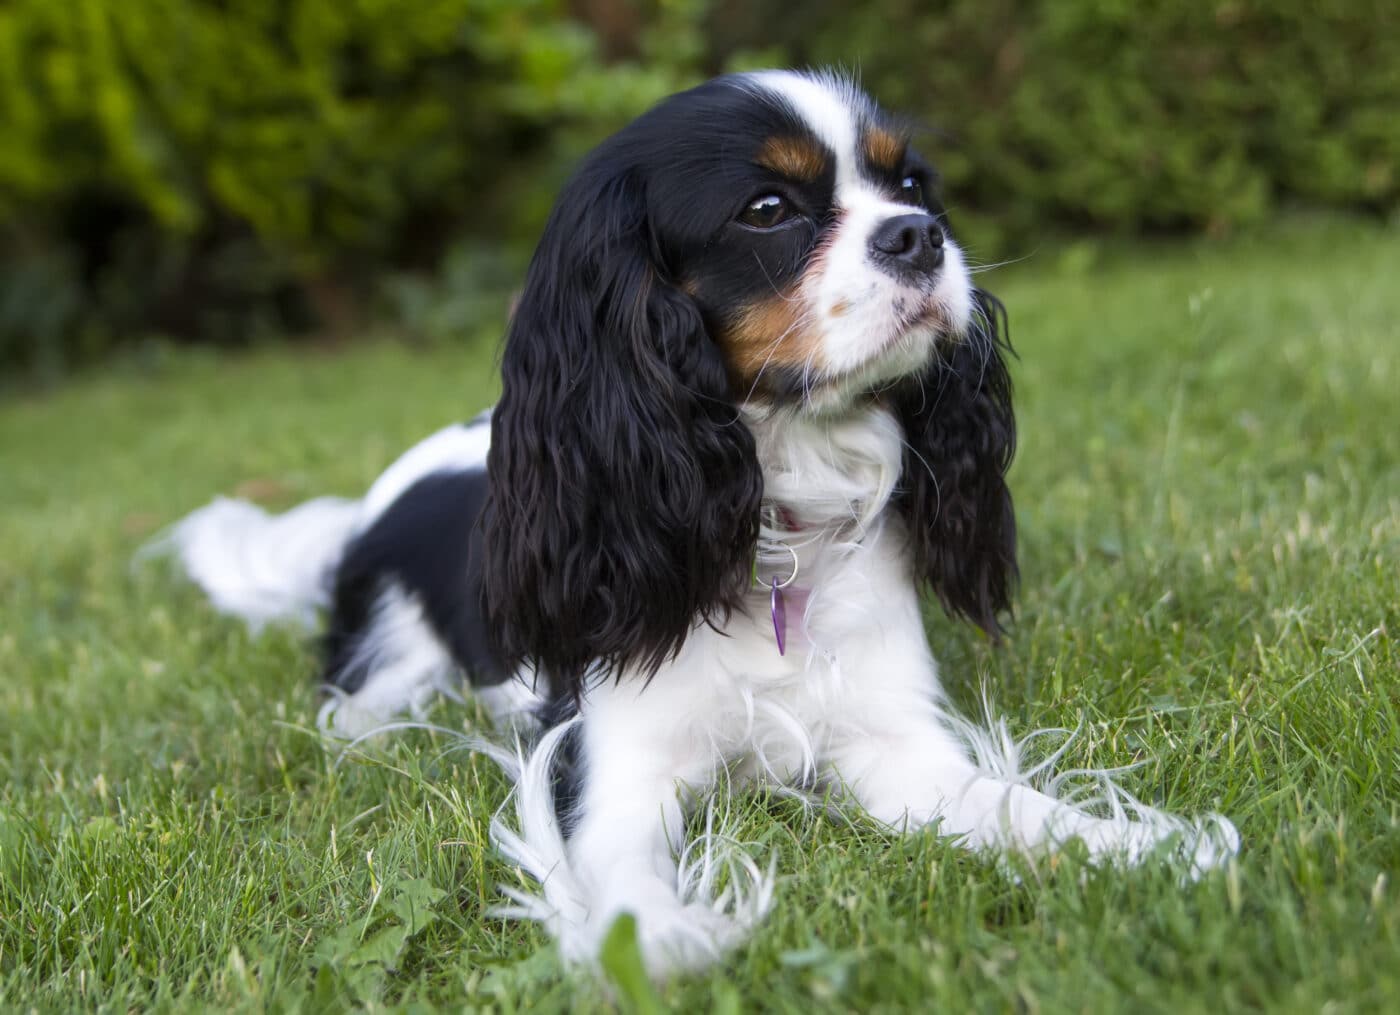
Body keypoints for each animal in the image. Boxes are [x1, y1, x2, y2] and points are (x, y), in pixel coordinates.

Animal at [166, 69, 1237, 974]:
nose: (920, 235)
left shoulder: (895, 740)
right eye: (768, 210)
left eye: (911, 184)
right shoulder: (612, 759)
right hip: (386, 667)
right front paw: (665, 935)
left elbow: (1008, 804)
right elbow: (622, 875)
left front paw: (1144, 844)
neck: (774, 500)